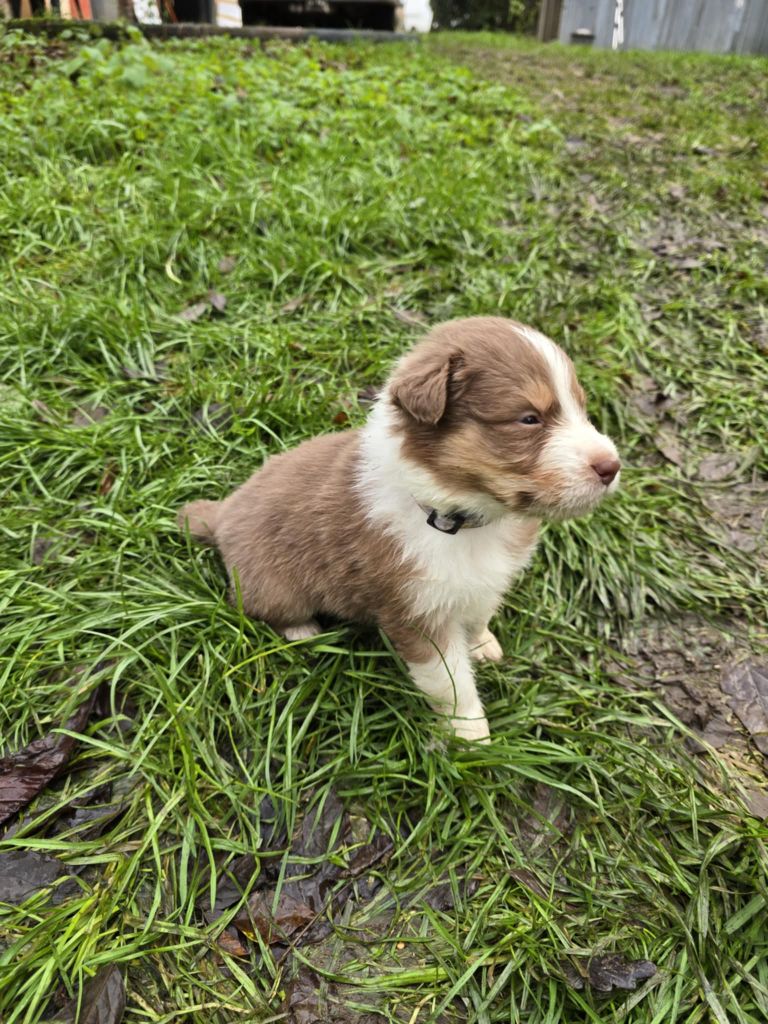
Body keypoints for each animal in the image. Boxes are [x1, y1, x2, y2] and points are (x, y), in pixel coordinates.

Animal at [179, 315, 618, 741]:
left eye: (581, 409)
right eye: (529, 418)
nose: (611, 466)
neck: (458, 518)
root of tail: (224, 512)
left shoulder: (487, 579)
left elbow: (479, 614)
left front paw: (482, 645)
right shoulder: (416, 613)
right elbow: (451, 683)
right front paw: (470, 735)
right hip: (275, 585)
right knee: (260, 607)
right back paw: (303, 631)